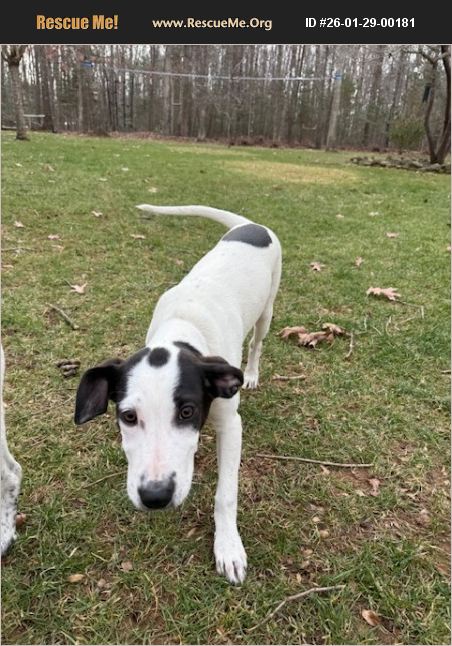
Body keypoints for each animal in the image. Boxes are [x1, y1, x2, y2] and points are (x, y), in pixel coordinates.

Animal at [74, 205, 281, 583]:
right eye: (128, 417)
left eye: (187, 412)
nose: (155, 497)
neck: (182, 331)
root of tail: (249, 225)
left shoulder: (231, 425)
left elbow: (225, 494)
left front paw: (228, 547)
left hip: (267, 309)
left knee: (258, 343)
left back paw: (253, 373)